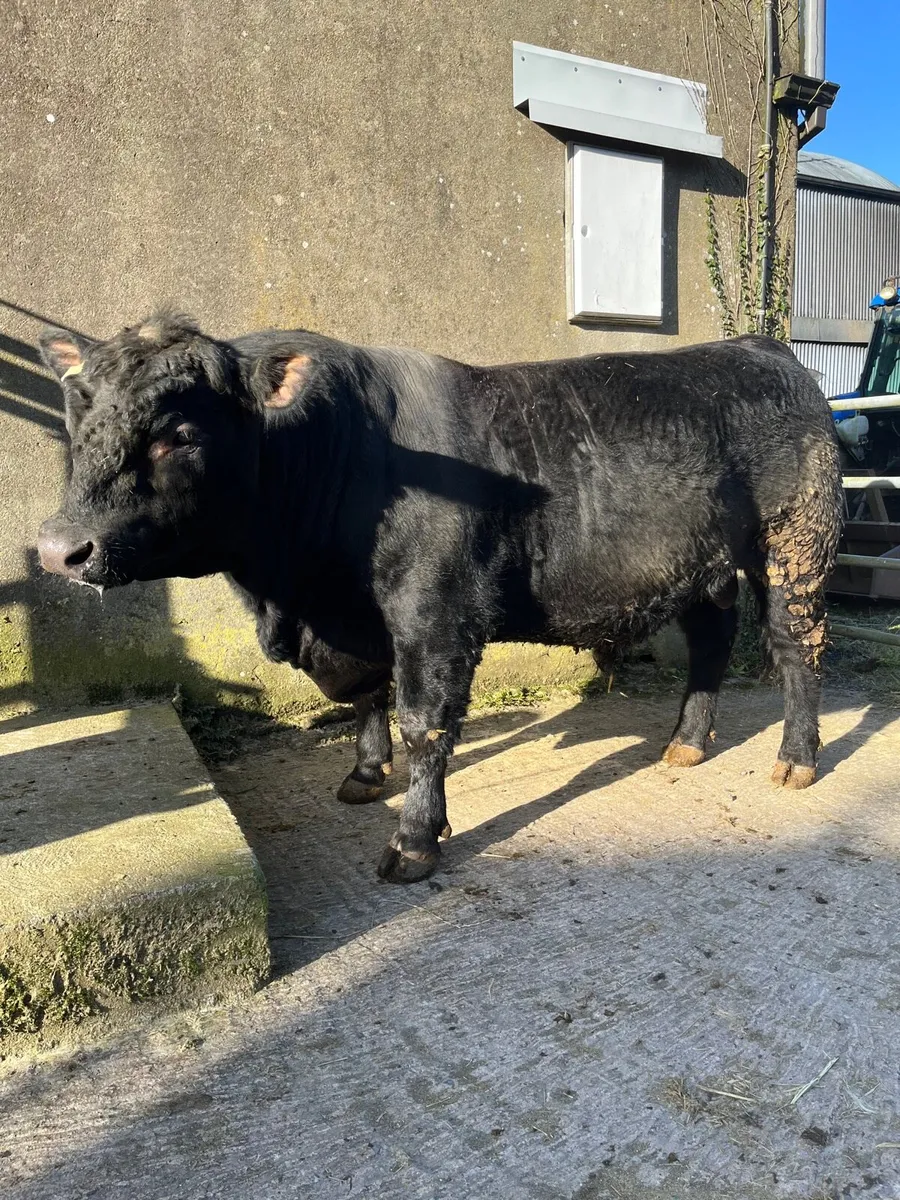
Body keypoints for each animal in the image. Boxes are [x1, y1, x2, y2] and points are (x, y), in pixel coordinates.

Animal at [36, 312, 842, 883]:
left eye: (177, 433)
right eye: (77, 421)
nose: (58, 548)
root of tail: (760, 348)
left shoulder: (436, 611)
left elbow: (424, 722)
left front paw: (415, 839)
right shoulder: (357, 623)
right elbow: (368, 696)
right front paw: (366, 775)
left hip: (793, 546)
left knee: (797, 647)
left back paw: (796, 758)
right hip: (700, 565)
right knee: (711, 644)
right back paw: (686, 743)